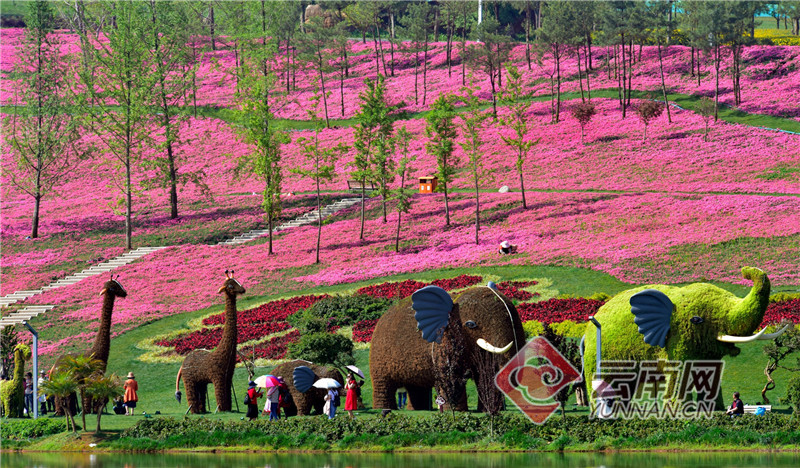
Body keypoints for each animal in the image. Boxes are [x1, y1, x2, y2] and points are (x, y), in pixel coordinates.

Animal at [580, 268, 792, 408]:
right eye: (696, 319)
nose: (745, 271)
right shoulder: (674, 341)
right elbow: (678, 370)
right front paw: (679, 414)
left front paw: (715, 411)